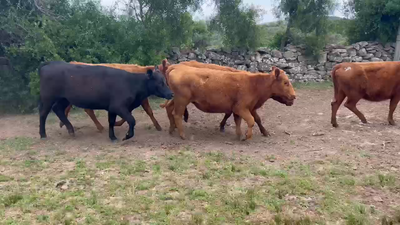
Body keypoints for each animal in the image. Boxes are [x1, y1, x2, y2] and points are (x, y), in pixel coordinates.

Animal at [38, 60, 173, 142]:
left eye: (164, 81)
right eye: (160, 83)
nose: (171, 93)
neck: (132, 82)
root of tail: (47, 65)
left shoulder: (112, 108)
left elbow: (112, 122)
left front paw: (112, 137)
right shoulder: (118, 106)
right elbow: (132, 119)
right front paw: (127, 136)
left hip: (64, 99)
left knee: (58, 109)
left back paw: (70, 130)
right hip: (48, 98)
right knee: (43, 114)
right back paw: (43, 134)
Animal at [164, 63, 296, 141]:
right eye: (286, 82)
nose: (294, 96)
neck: (254, 83)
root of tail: (176, 67)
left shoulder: (241, 109)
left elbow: (241, 121)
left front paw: (240, 135)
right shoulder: (241, 108)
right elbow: (251, 120)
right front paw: (246, 136)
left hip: (176, 99)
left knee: (169, 109)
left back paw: (171, 129)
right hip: (182, 101)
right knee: (177, 115)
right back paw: (182, 135)